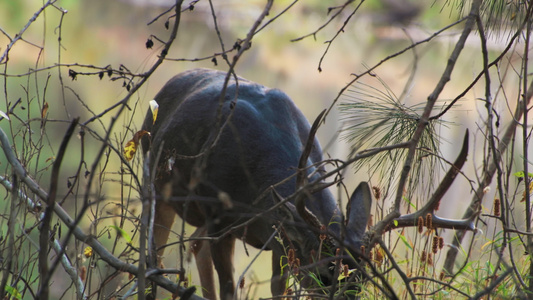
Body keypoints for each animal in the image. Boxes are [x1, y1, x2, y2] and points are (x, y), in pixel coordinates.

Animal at [140, 68, 370, 300]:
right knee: (154, 252)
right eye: (323, 275)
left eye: (362, 279)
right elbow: (228, 288)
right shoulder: (217, 217)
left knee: (195, 243)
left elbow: (278, 288)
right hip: (156, 184)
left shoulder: (280, 238)